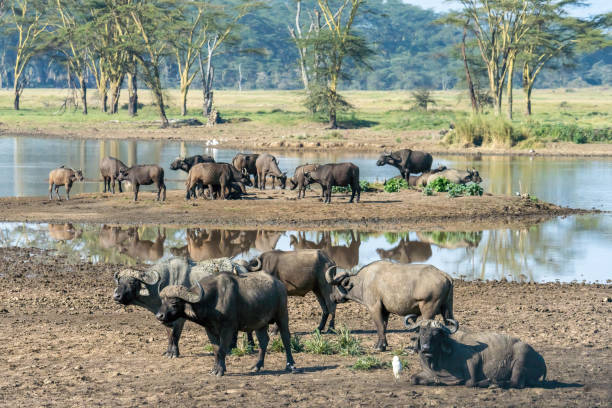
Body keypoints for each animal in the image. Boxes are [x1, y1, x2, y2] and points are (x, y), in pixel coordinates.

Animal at [112, 258, 249, 356]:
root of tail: (241, 269)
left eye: (132, 282)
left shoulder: (180, 318)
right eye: (120, 282)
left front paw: (173, 353)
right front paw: (168, 352)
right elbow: (169, 333)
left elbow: (175, 334)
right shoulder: (164, 316)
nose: (116, 296)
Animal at [157, 270, 298, 376]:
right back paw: (257, 366)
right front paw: (215, 369)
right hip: (260, 324)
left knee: (286, 338)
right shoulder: (209, 329)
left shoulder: (228, 329)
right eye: (162, 300)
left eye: (174, 302)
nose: (159, 316)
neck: (212, 300)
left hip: (282, 315)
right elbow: (216, 350)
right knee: (264, 341)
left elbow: (222, 349)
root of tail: (280, 284)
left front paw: (219, 371)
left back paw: (290, 365)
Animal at [326, 262, 454, 350]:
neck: (362, 282)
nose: (332, 297)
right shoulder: (385, 311)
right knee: (449, 327)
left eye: (335, 286)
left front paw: (380, 347)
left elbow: (379, 327)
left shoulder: (374, 308)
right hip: (447, 310)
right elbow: (384, 326)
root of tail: (444, 275)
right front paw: (383, 344)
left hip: (428, 310)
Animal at [406, 318, 544, 388]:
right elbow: (413, 378)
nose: (426, 348)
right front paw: (434, 381)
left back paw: (494, 383)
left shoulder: (474, 359)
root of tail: (539, 357)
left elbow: (470, 382)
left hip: (520, 362)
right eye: (422, 331)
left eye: (436, 334)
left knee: (516, 383)